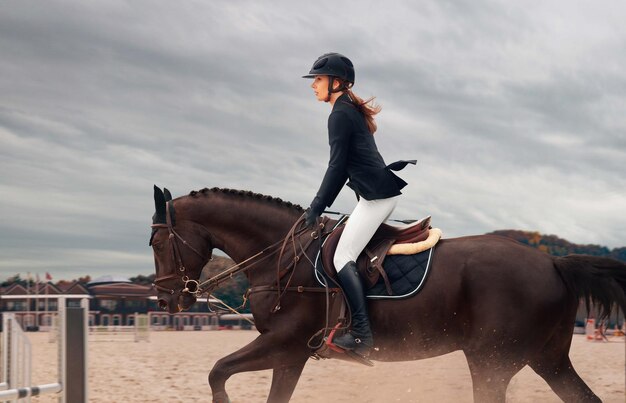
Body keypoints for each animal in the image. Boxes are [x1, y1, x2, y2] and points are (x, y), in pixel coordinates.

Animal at [150, 187, 624, 403]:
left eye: (155, 243)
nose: (168, 303)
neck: (281, 255)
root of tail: (554, 263)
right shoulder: (291, 356)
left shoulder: (284, 343)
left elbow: (217, 371)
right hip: (546, 359)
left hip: (492, 362)